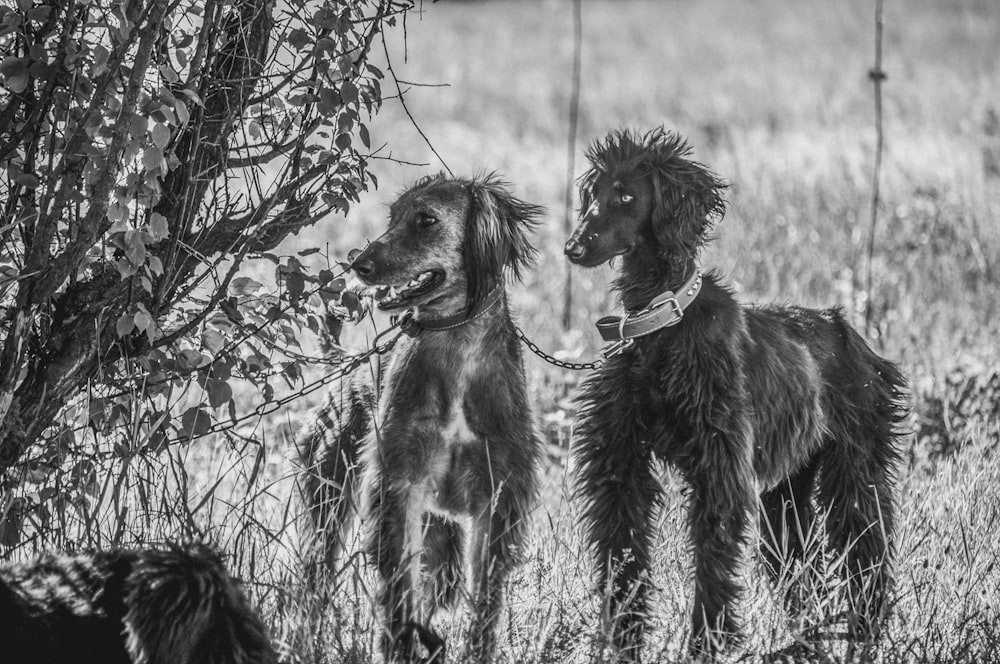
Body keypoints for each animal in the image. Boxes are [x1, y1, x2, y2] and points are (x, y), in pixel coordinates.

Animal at [296, 174, 544, 660]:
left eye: (426, 219)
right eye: (393, 217)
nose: (360, 266)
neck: (457, 344)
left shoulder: (496, 501)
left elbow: (484, 607)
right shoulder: (400, 487)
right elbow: (398, 595)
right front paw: (401, 646)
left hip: (441, 539)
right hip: (331, 501)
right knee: (315, 583)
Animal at [572, 128, 908, 660]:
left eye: (625, 196)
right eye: (594, 194)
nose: (574, 246)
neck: (662, 321)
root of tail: (848, 331)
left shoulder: (719, 471)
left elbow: (713, 564)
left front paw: (706, 643)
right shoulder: (620, 469)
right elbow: (623, 557)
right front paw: (622, 641)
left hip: (856, 475)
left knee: (867, 560)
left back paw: (865, 636)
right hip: (786, 498)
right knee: (805, 576)